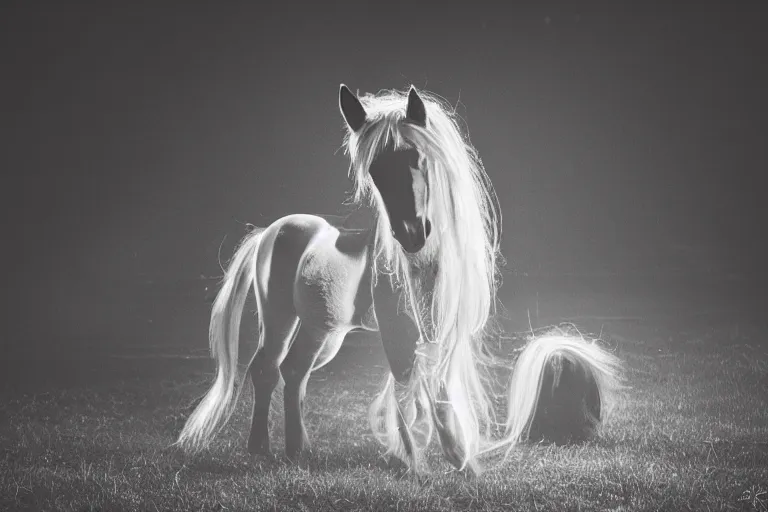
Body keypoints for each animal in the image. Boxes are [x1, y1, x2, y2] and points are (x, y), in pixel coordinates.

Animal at [176, 84, 624, 476]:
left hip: (324, 330)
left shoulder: (435, 328)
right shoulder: (397, 329)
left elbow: (436, 381)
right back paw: (261, 449)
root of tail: (270, 231)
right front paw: (416, 460)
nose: (411, 235)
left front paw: (455, 458)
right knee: (267, 368)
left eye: (417, 156)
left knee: (295, 372)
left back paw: (298, 450)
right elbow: (408, 383)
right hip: (281, 317)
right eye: (374, 169)